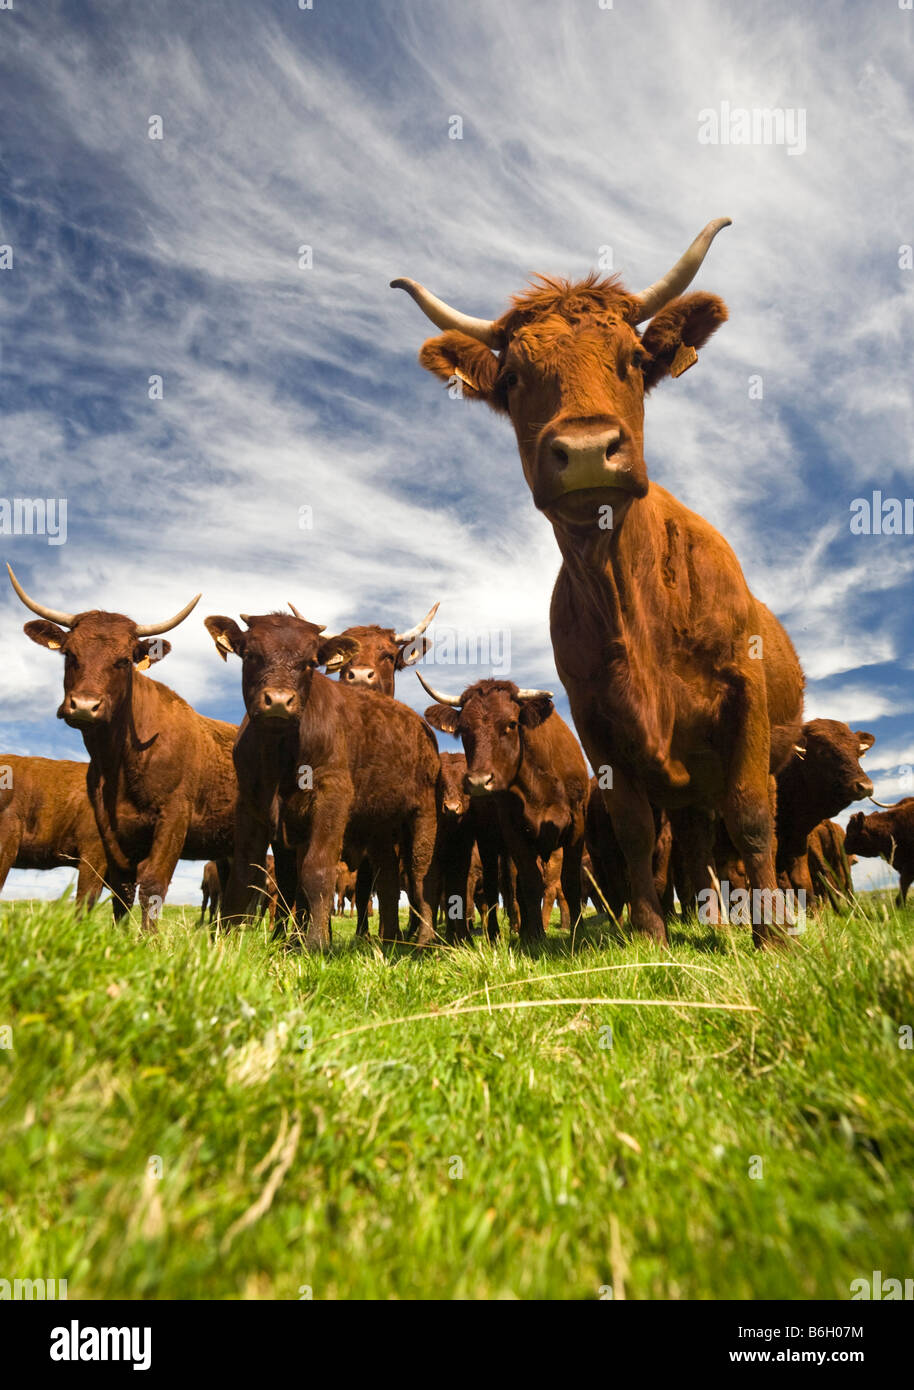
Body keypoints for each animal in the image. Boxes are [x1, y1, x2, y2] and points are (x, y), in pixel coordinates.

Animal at [204, 609, 441, 948]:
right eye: (250, 655)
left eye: (309, 662)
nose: (279, 700)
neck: (281, 753)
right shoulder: (252, 805)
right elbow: (248, 874)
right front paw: (228, 941)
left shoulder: (332, 796)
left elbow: (316, 870)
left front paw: (315, 943)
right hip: (381, 824)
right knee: (388, 881)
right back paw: (389, 940)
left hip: (423, 814)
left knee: (420, 872)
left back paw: (423, 941)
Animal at [419, 675, 588, 941]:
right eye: (463, 729)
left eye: (511, 723)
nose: (479, 781)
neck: (539, 782)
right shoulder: (514, 832)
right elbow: (530, 883)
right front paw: (536, 937)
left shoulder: (576, 825)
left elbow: (569, 882)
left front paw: (577, 932)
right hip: (488, 844)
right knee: (492, 889)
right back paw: (496, 934)